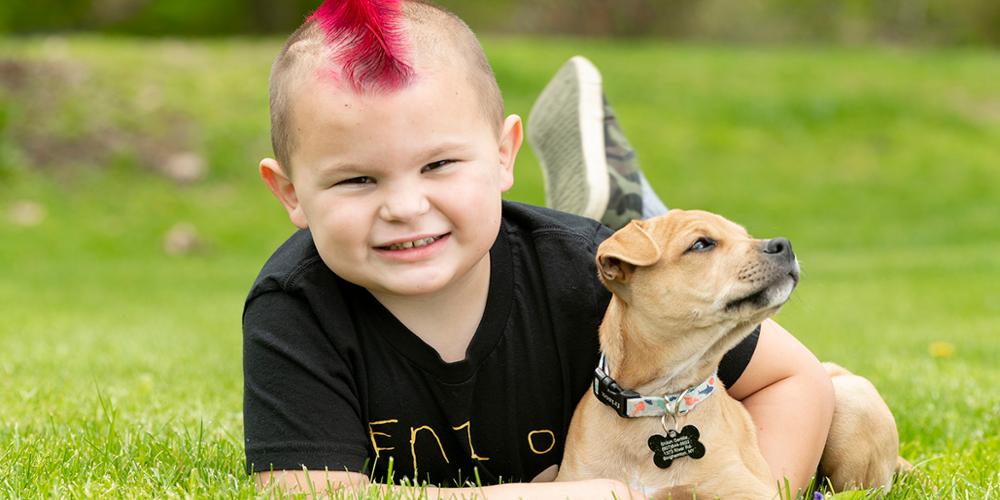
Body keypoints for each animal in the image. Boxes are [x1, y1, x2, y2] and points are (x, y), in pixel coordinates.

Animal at [556, 211, 900, 500]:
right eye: (701, 244)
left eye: (744, 234)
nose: (784, 244)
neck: (660, 402)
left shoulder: (748, 490)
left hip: (852, 402)